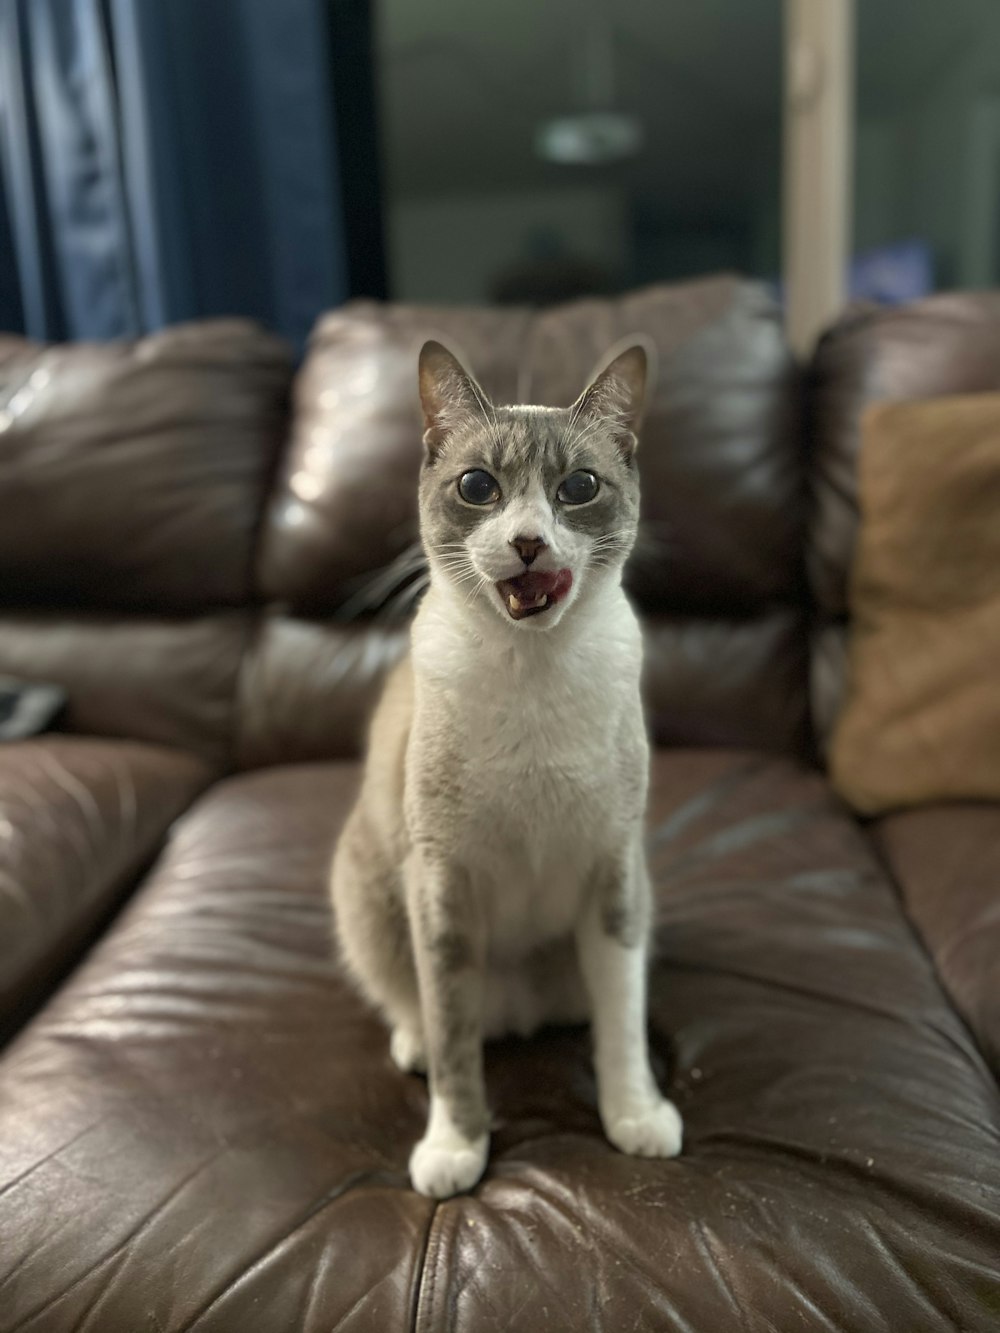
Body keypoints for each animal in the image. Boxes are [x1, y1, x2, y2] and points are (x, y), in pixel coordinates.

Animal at [333, 341, 688, 1199]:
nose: (528, 541)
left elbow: (622, 1026)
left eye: (579, 488)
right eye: (478, 488)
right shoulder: (444, 895)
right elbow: (457, 1049)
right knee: (420, 1011)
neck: (533, 673)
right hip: (366, 895)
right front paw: (456, 1150)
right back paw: (414, 1045)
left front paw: (635, 1118)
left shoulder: (614, 876)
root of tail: (520, 1009)